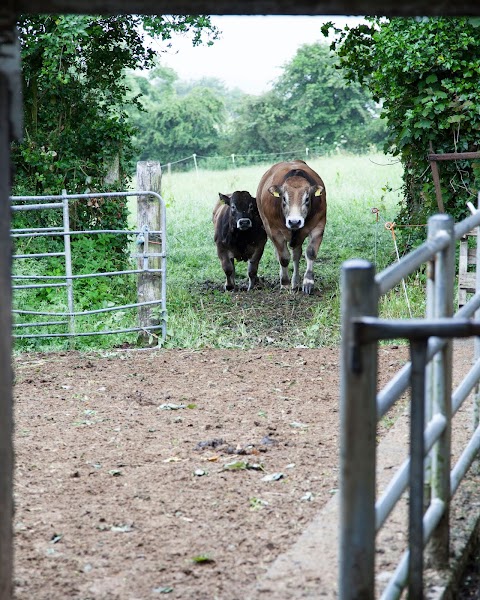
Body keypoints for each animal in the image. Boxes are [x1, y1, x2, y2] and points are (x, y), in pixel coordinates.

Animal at [258, 162, 326, 296]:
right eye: (284, 198)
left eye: (307, 198)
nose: (294, 221)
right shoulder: (275, 231)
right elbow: (283, 258)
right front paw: (285, 283)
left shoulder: (318, 226)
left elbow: (310, 253)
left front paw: (308, 282)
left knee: (296, 254)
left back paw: (295, 282)